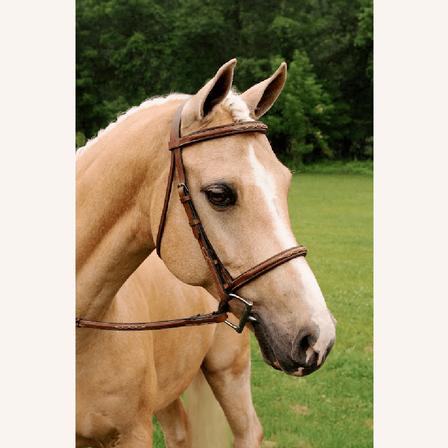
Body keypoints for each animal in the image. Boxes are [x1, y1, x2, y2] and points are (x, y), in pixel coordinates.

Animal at [77, 60, 336, 448]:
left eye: (286, 182)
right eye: (219, 194)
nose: (317, 336)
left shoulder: (133, 431)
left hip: (228, 371)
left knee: (247, 431)